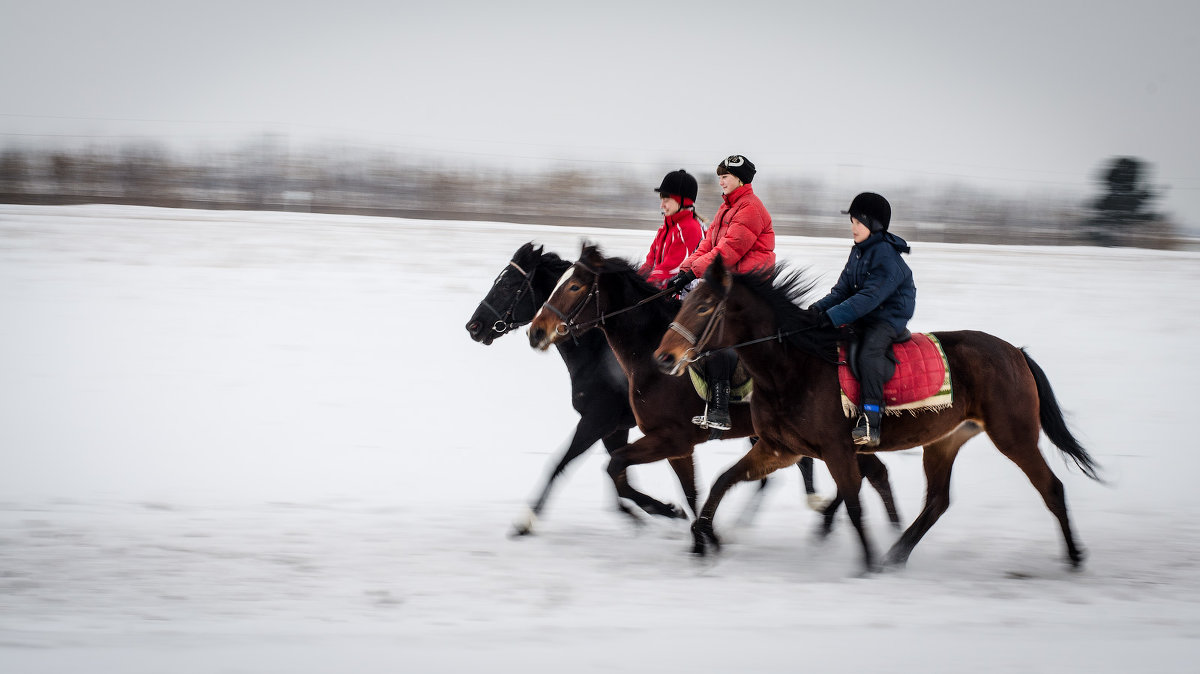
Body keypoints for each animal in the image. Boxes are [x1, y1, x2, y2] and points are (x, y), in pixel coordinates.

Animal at [465, 243, 835, 532]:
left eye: (509, 283)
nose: (474, 326)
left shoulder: (600, 420)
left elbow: (564, 464)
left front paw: (526, 520)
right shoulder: (617, 427)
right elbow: (620, 478)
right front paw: (654, 511)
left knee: (797, 464)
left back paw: (815, 509)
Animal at [528, 245, 902, 525]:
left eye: (574, 286)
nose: (536, 331)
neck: (648, 354)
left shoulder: (661, 434)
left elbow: (607, 467)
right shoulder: (659, 439)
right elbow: (678, 489)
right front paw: (684, 521)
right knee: (863, 471)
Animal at [652, 254, 1099, 568]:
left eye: (706, 307)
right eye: (687, 302)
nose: (663, 357)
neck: (793, 367)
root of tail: (1016, 353)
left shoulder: (836, 450)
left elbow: (853, 505)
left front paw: (865, 563)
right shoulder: (780, 449)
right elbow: (721, 482)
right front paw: (703, 537)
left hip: (1014, 435)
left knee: (1052, 489)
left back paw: (1075, 557)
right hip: (944, 441)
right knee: (937, 502)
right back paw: (896, 554)